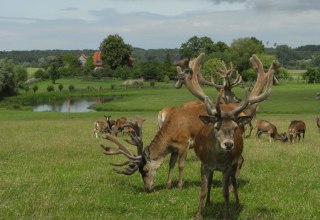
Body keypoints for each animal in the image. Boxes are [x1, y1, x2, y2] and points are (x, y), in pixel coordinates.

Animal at [176, 52, 276, 219]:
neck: (217, 159)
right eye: (216, 126)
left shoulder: (228, 167)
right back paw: (209, 202)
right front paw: (198, 214)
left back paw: (237, 202)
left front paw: (227, 214)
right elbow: (202, 191)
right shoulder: (204, 165)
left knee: (234, 181)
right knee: (211, 182)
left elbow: (225, 193)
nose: (228, 144)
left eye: (235, 127)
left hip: (235, 162)